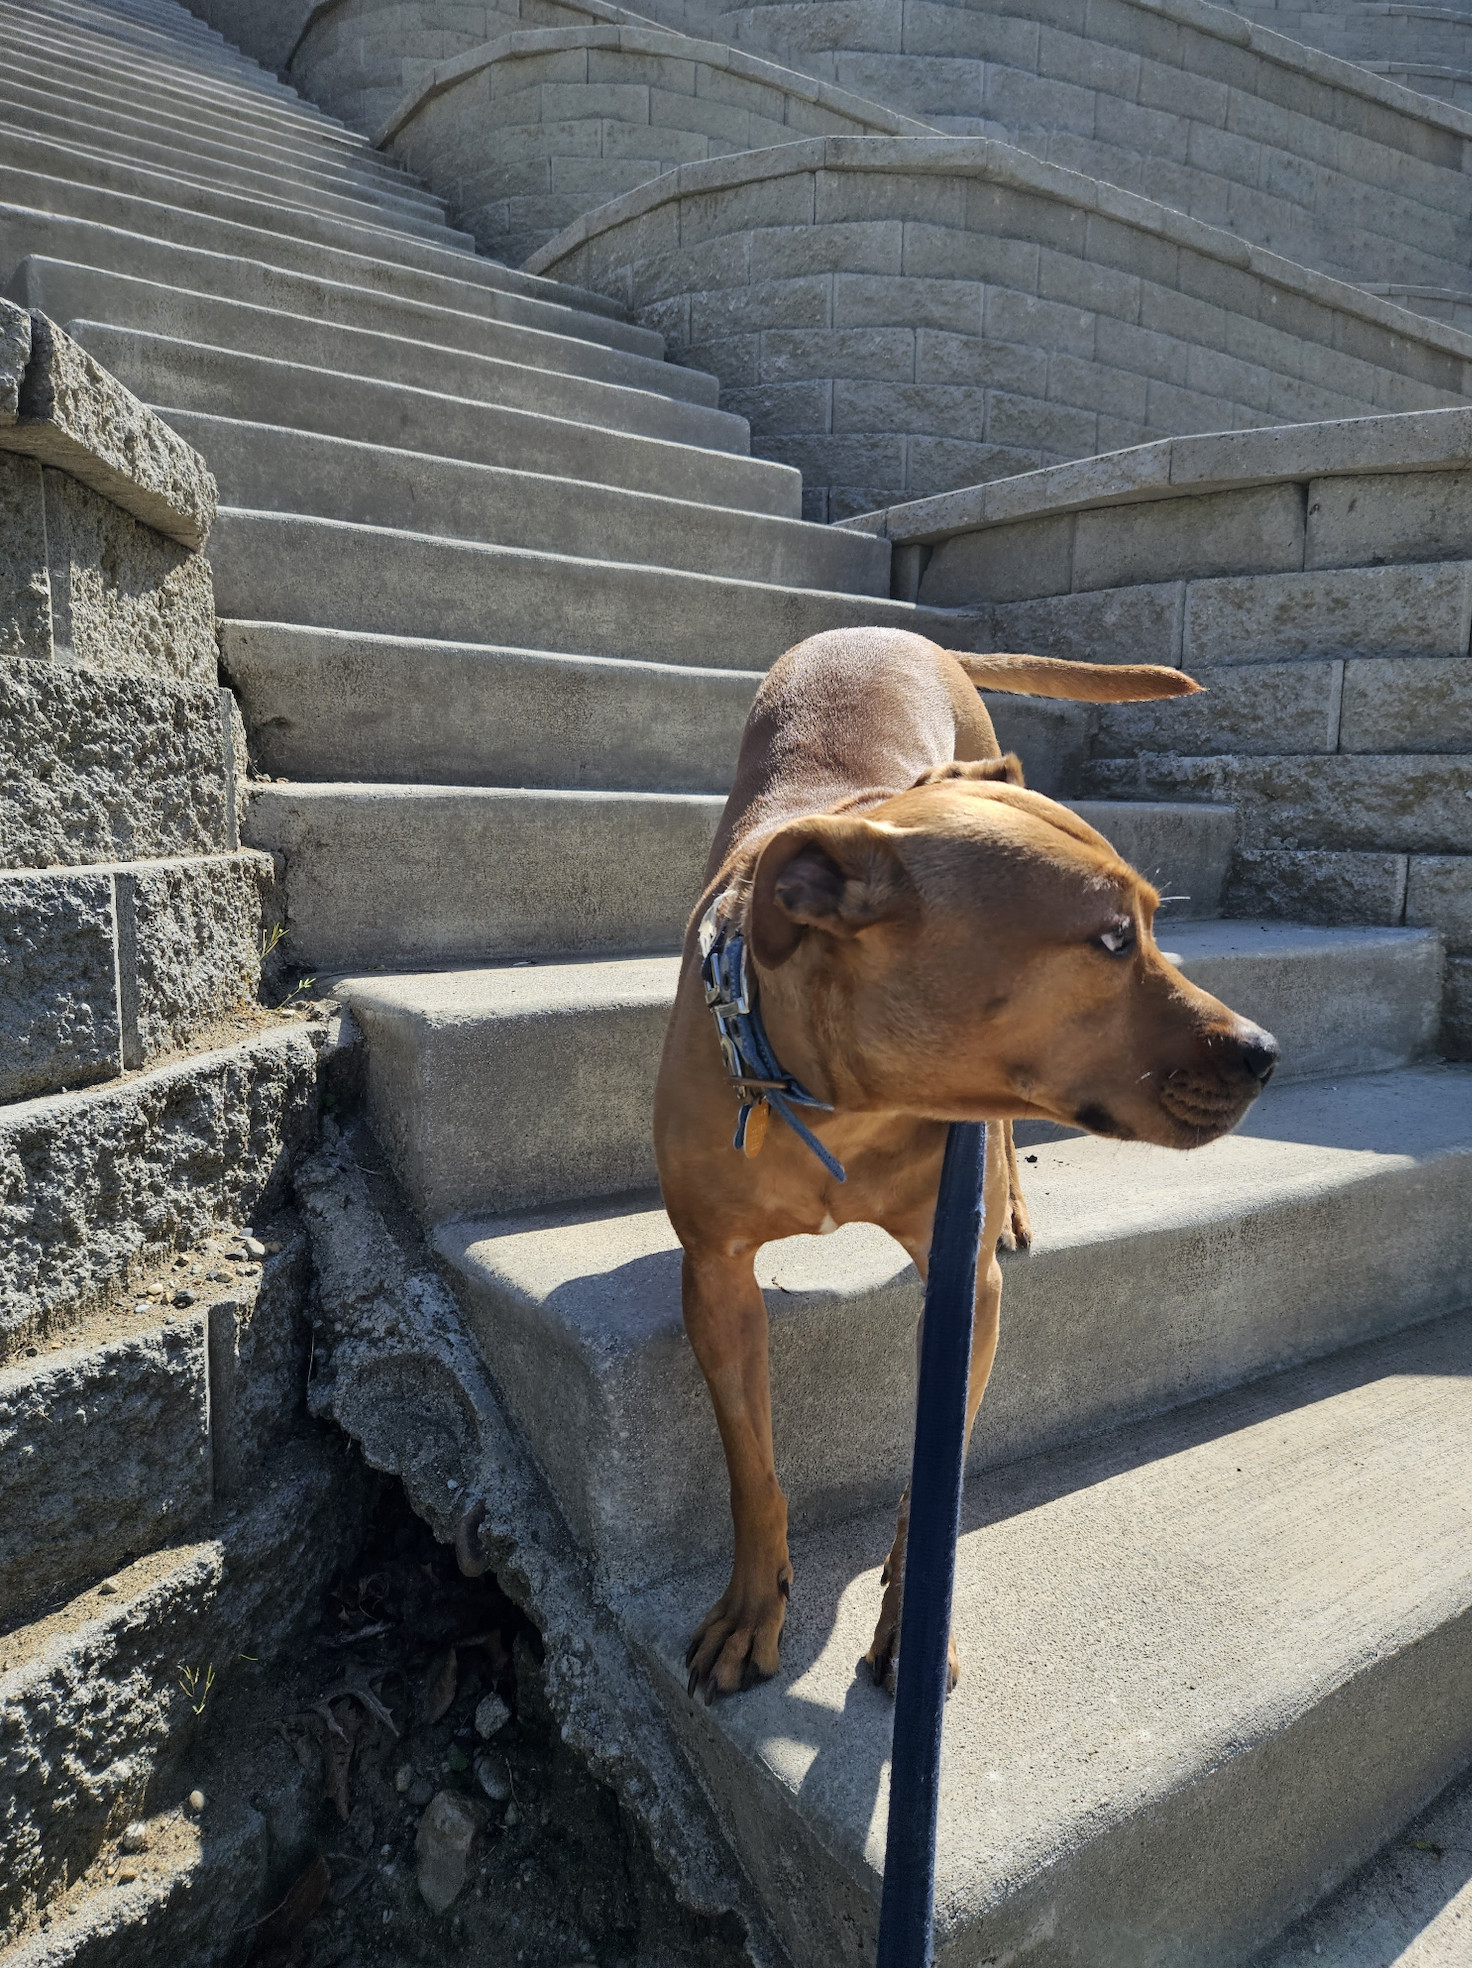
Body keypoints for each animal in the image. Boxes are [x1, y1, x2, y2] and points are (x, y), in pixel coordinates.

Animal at [657, 633, 1275, 1708]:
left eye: (1151, 923)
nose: (1266, 1051)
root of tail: (901, 633)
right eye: (1112, 938)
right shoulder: (716, 1277)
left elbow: (930, 1487)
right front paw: (751, 1605)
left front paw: (914, 1620)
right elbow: (751, 1467)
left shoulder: (965, 1288)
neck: (843, 1102)